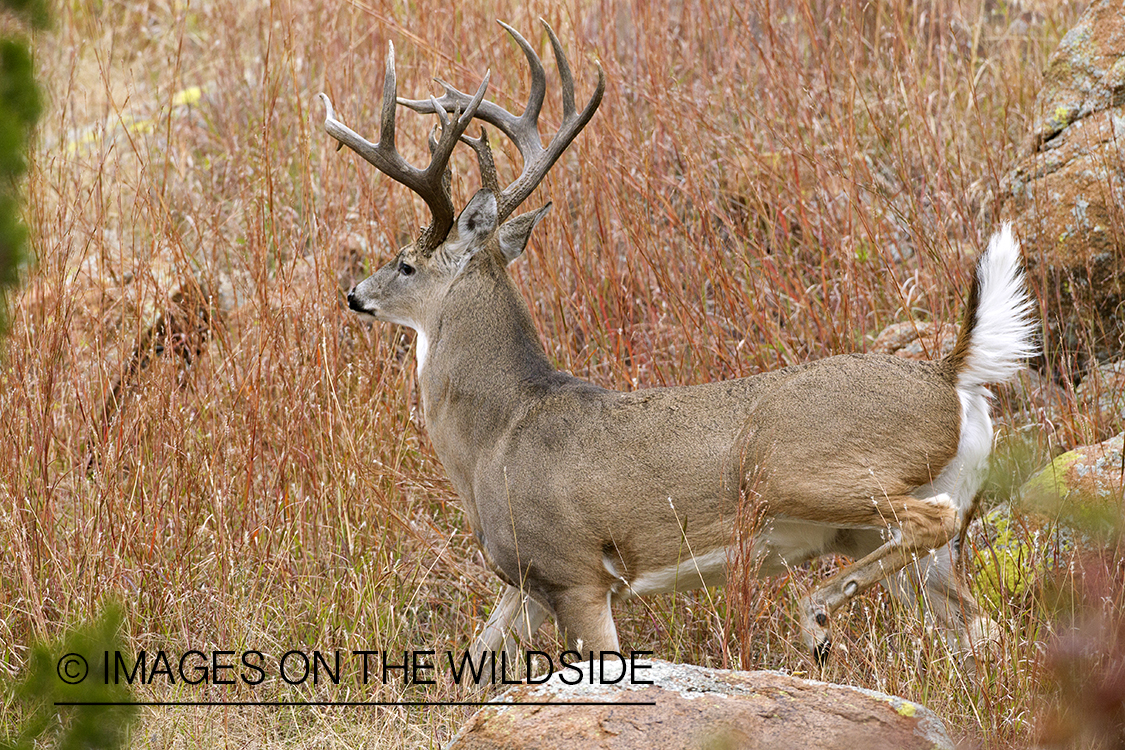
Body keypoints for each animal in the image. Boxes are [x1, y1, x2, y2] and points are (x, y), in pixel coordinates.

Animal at [317, 19, 1035, 674]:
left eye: (406, 263)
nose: (354, 293)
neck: (497, 433)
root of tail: (949, 376)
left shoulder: (574, 569)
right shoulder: (524, 584)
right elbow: (477, 654)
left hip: (806, 472)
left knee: (931, 522)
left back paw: (815, 619)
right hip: (890, 536)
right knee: (983, 628)